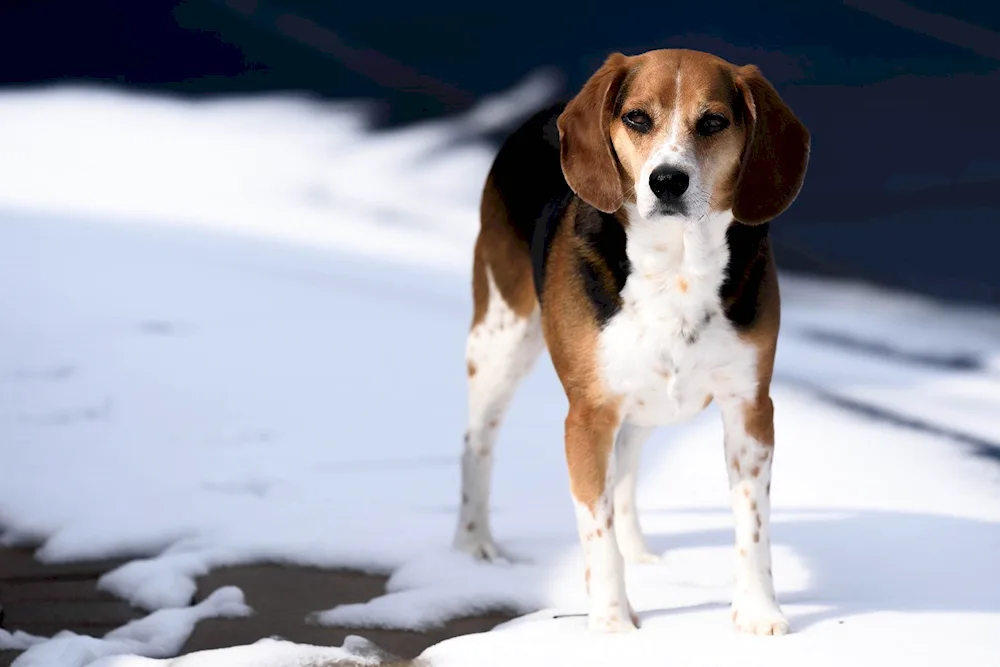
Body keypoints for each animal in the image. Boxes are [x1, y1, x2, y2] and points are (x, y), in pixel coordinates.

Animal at [458, 48, 808, 636]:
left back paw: (640, 550)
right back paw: (473, 542)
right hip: (499, 343)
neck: (678, 265)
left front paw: (759, 613)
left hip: (646, 403)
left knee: (626, 468)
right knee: (477, 444)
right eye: (637, 119)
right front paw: (613, 625)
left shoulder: (751, 410)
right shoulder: (588, 416)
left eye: (714, 122)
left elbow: (753, 527)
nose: (667, 181)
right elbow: (596, 534)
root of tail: (549, 112)